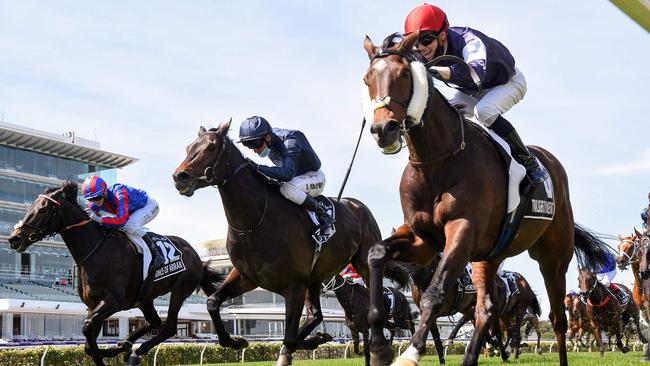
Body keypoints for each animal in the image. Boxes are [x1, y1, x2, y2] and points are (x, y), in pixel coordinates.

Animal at [7, 183, 221, 366]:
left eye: (43, 209)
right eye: (30, 207)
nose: (14, 238)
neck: (96, 250)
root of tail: (195, 256)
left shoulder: (113, 301)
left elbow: (87, 327)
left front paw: (105, 355)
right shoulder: (93, 304)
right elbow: (88, 341)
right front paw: (111, 350)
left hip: (179, 289)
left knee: (168, 326)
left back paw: (135, 351)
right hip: (144, 298)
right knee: (155, 321)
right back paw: (126, 347)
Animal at [170, 121, 408, 364]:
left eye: (210, 147)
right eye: (189, 147)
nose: (180, 177)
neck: (256, 220)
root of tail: (357, 205)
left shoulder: (294, 283)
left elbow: (290, 337)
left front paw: (316, 339)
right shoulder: (247, 276)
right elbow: (213, 302)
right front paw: (236, 341)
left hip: (361, 264)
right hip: (316, 277)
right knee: (315, 315)